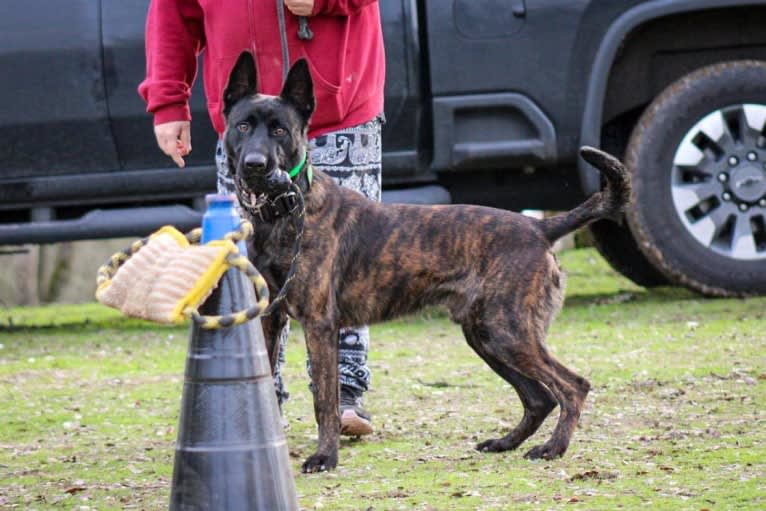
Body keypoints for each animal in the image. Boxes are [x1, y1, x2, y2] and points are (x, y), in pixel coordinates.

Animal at [222, 53, 632, 476]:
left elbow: (325, 401)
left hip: (509, 332)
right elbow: (268, 383)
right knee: (539, 398)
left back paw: (553, 447)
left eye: (280, 131)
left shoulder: (320, 325)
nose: (255, 164)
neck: (283, 209)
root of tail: (540, 226)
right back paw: (506, 443)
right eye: (243, 126)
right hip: (486, 335)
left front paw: (325, 456)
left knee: (573, 386)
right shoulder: (270, 319)